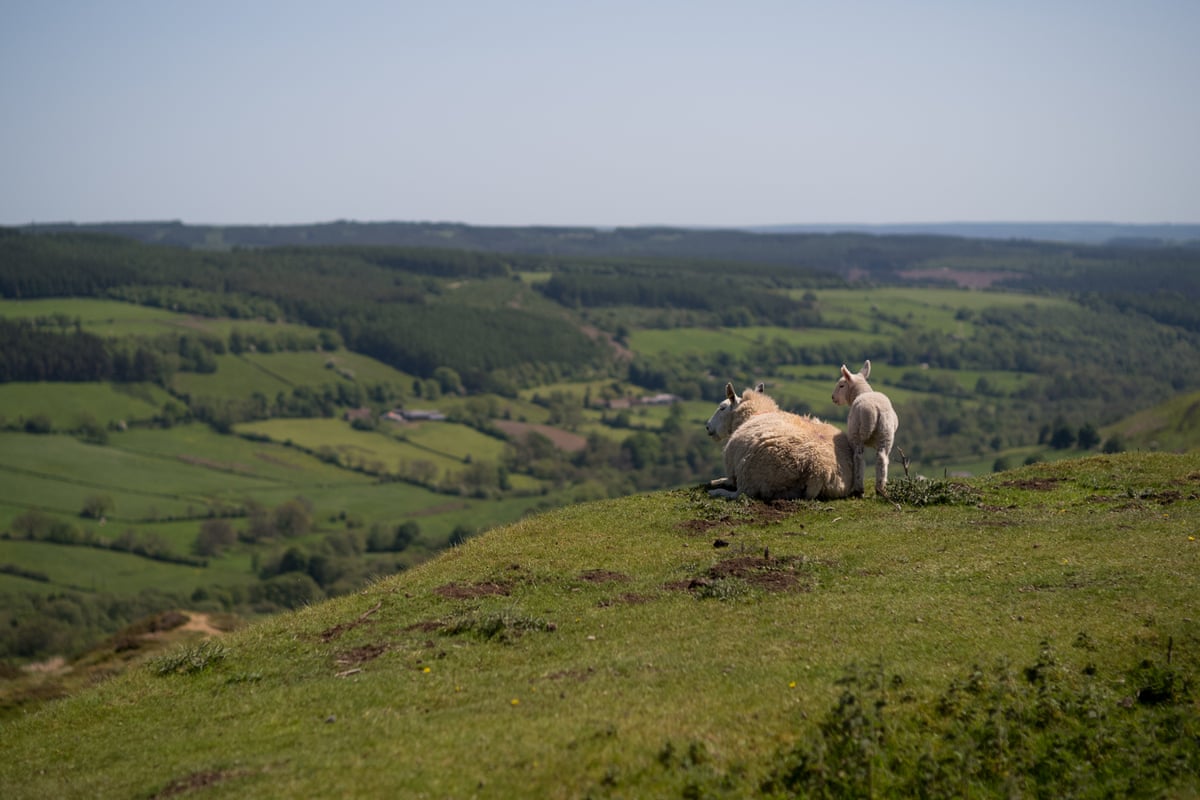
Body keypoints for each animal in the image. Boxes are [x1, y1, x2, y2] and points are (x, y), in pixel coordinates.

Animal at [705, 382, 854, 501]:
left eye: (722, 407)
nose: (707, 427)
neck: (755, 414)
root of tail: (820, 469)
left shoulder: (733, 469)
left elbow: (728, 480)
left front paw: (715, 482)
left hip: (751, 476)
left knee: (739, 494)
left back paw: (716, 492)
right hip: (789, 490)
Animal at [831, 360, 899, 496]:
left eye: (841, 385)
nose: (833, 397)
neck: (862, 392)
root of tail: (874, 410)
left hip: (856, 433)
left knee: (858, 457)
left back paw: (858, 489)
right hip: (886, 433)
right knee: (882, 458)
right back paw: (880, 488)